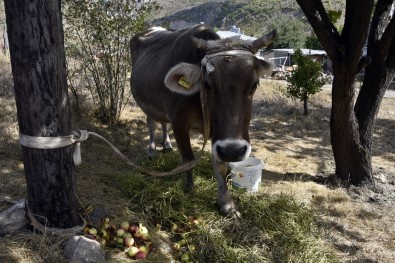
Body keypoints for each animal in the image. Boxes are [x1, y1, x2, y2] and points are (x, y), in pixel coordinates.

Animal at [130, 24, 276, 217]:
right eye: (207, 85)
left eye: (254, 85)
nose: (233, 151)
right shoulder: (179, 121)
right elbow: (188, 159)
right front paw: (188, 189)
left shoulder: (218, 133)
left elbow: (220, 165)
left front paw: (227, 203)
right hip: (146, 103)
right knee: (152, 123)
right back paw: (152, 150)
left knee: (163, 122)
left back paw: (167, 145)